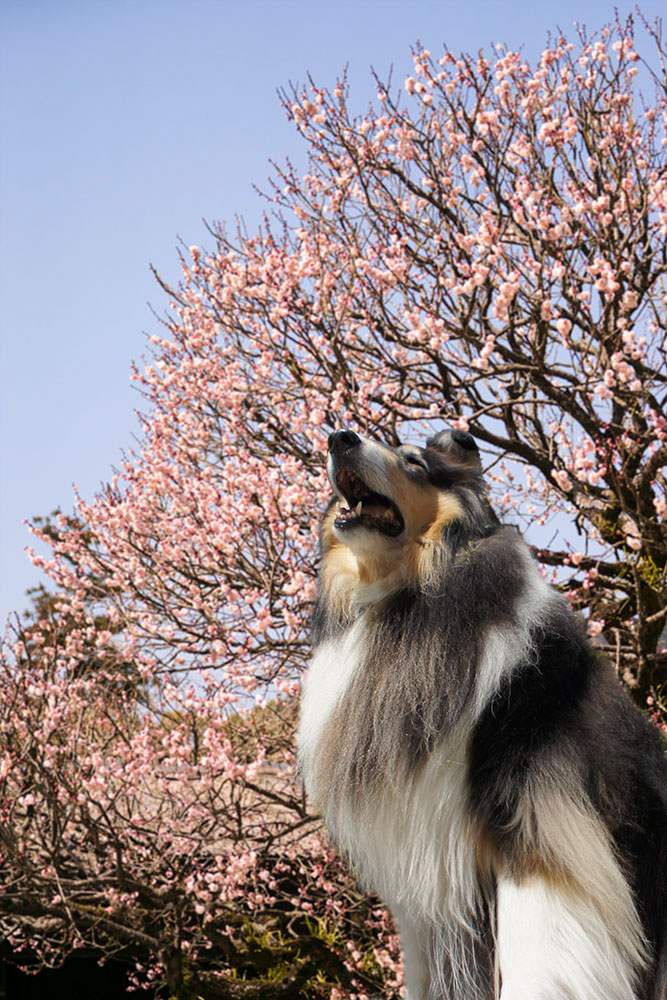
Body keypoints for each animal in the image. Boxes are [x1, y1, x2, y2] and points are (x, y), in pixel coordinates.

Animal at [300, 430, 667, 1000]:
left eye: (414, 461)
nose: (340, 438)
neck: (407, 600)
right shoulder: (423, 878)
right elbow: (422, 973)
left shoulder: (538, 815)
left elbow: (534, 953)